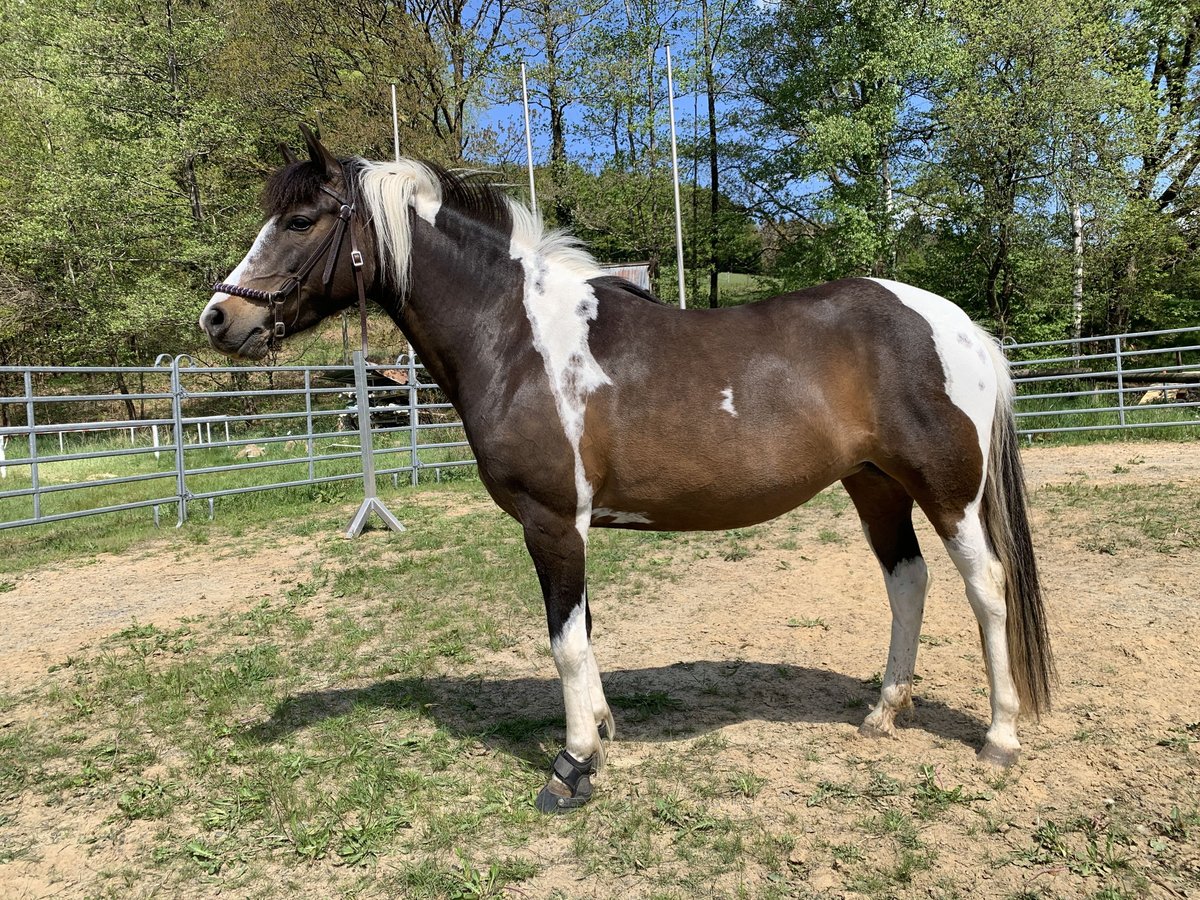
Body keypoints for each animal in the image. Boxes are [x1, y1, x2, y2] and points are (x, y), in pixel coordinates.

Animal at [201, 125, 1056, 816]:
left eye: (301, 220)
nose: (219, 317)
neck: (517, 338)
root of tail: (959, 325)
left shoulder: (551, 522)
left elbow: (564, 641)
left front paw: (573, 767)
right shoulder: (570, 527)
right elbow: (584, 630)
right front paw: (603, 729)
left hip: (948, 492)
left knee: (987, 590)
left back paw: (1000, 737)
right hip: (874, 484)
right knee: (907, 582)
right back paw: (884, 711)